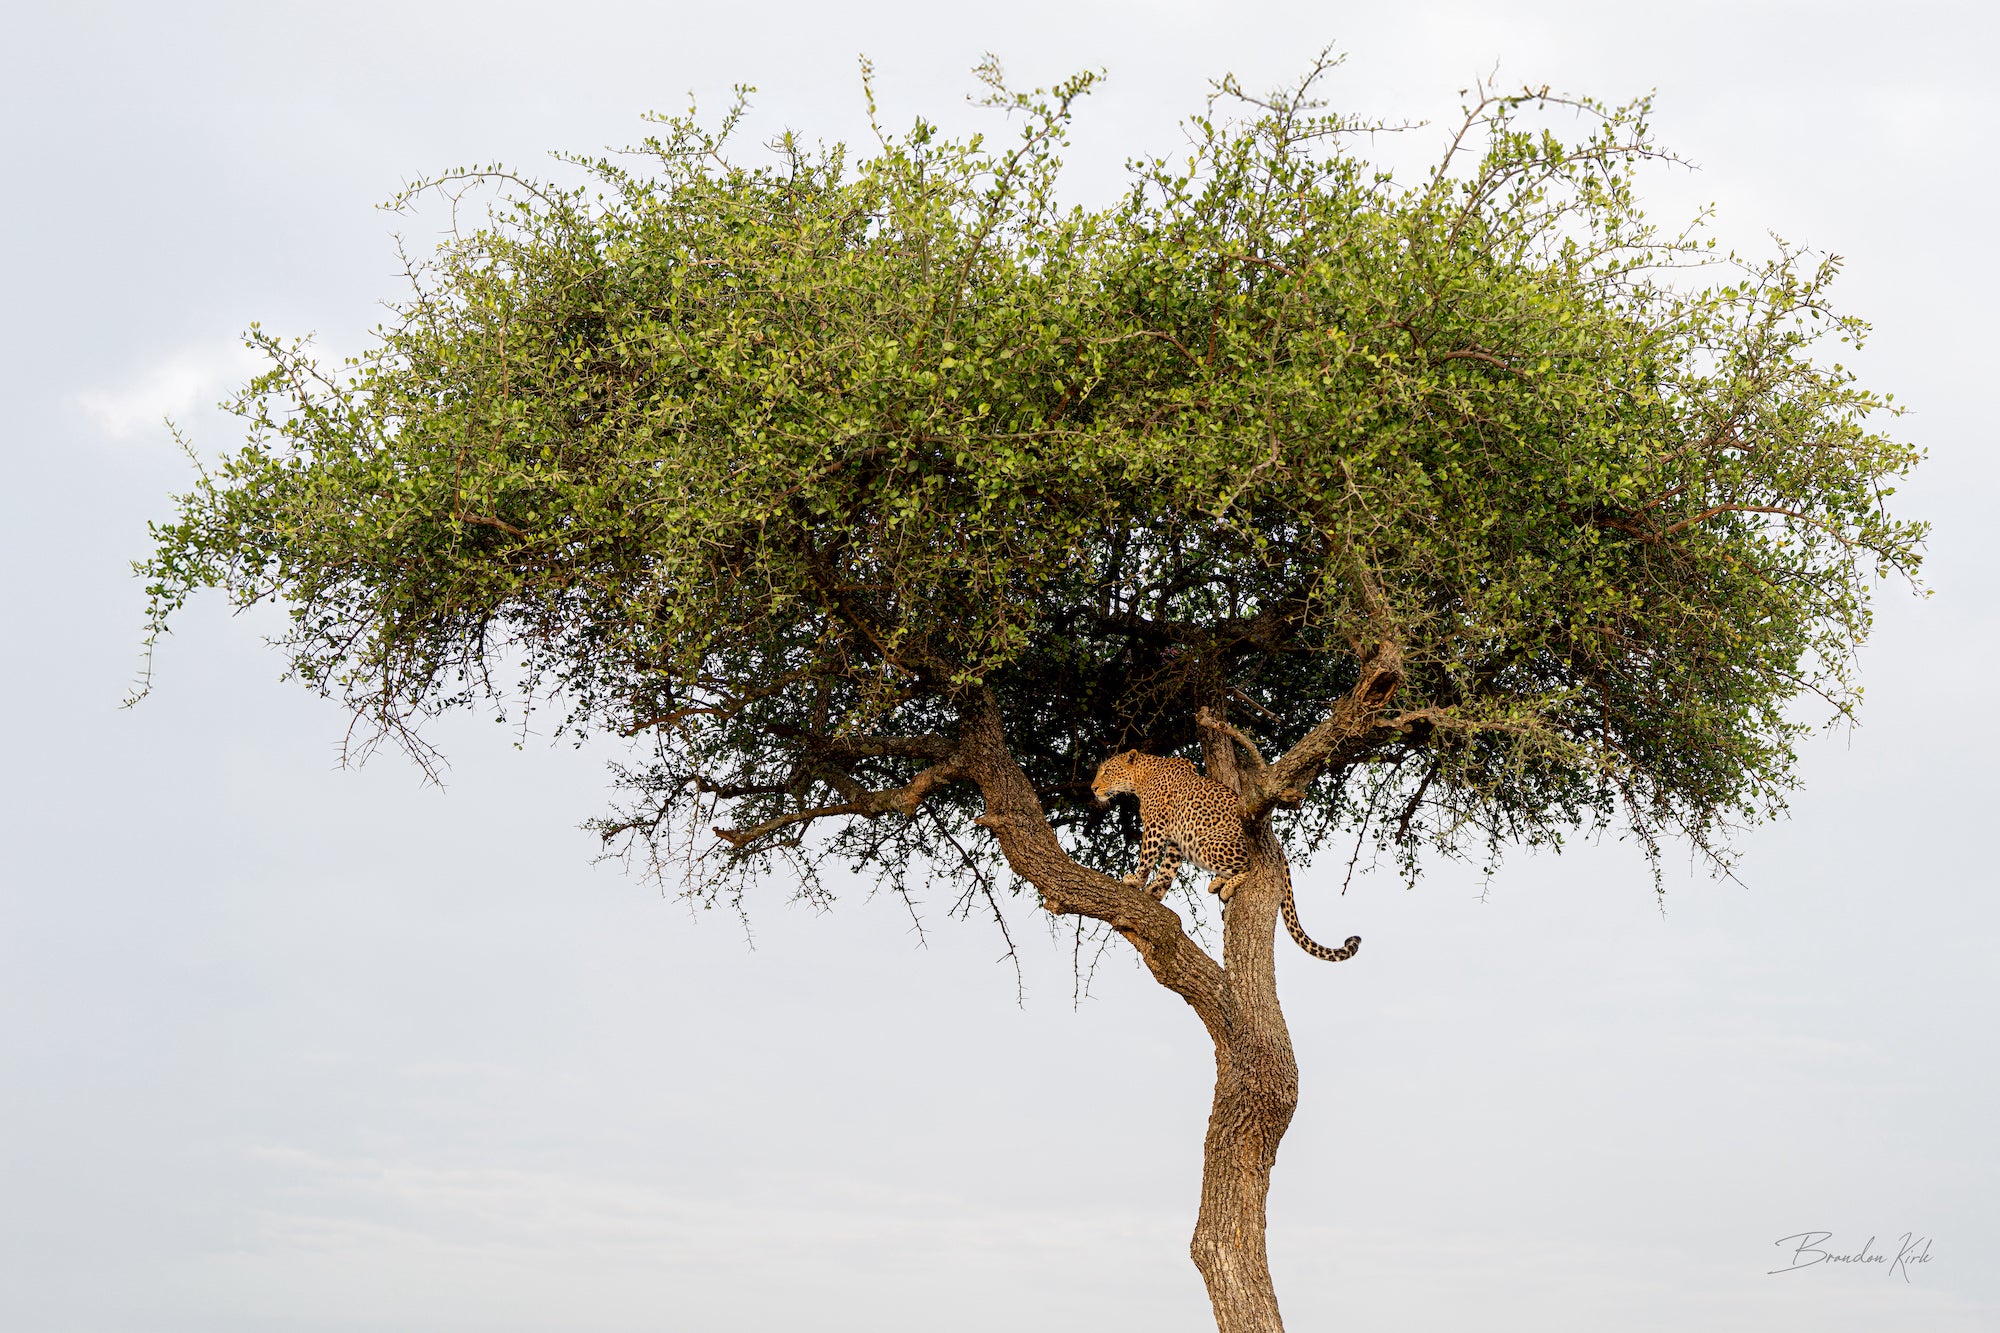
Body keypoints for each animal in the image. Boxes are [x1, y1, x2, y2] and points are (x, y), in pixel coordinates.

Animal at [1091, 749, 1361, 963]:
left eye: (1107, 772)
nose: (1093, 788)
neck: (1141, 777)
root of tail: (1277, 845)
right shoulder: (1176, 840)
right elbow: (1167, 868)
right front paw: (1154, 892)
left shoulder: (1155, 825)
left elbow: (1147, 856)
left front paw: (1135, 880)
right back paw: (1218, 882)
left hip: (1207, 843)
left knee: (1251, 868)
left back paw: (1227, 885)